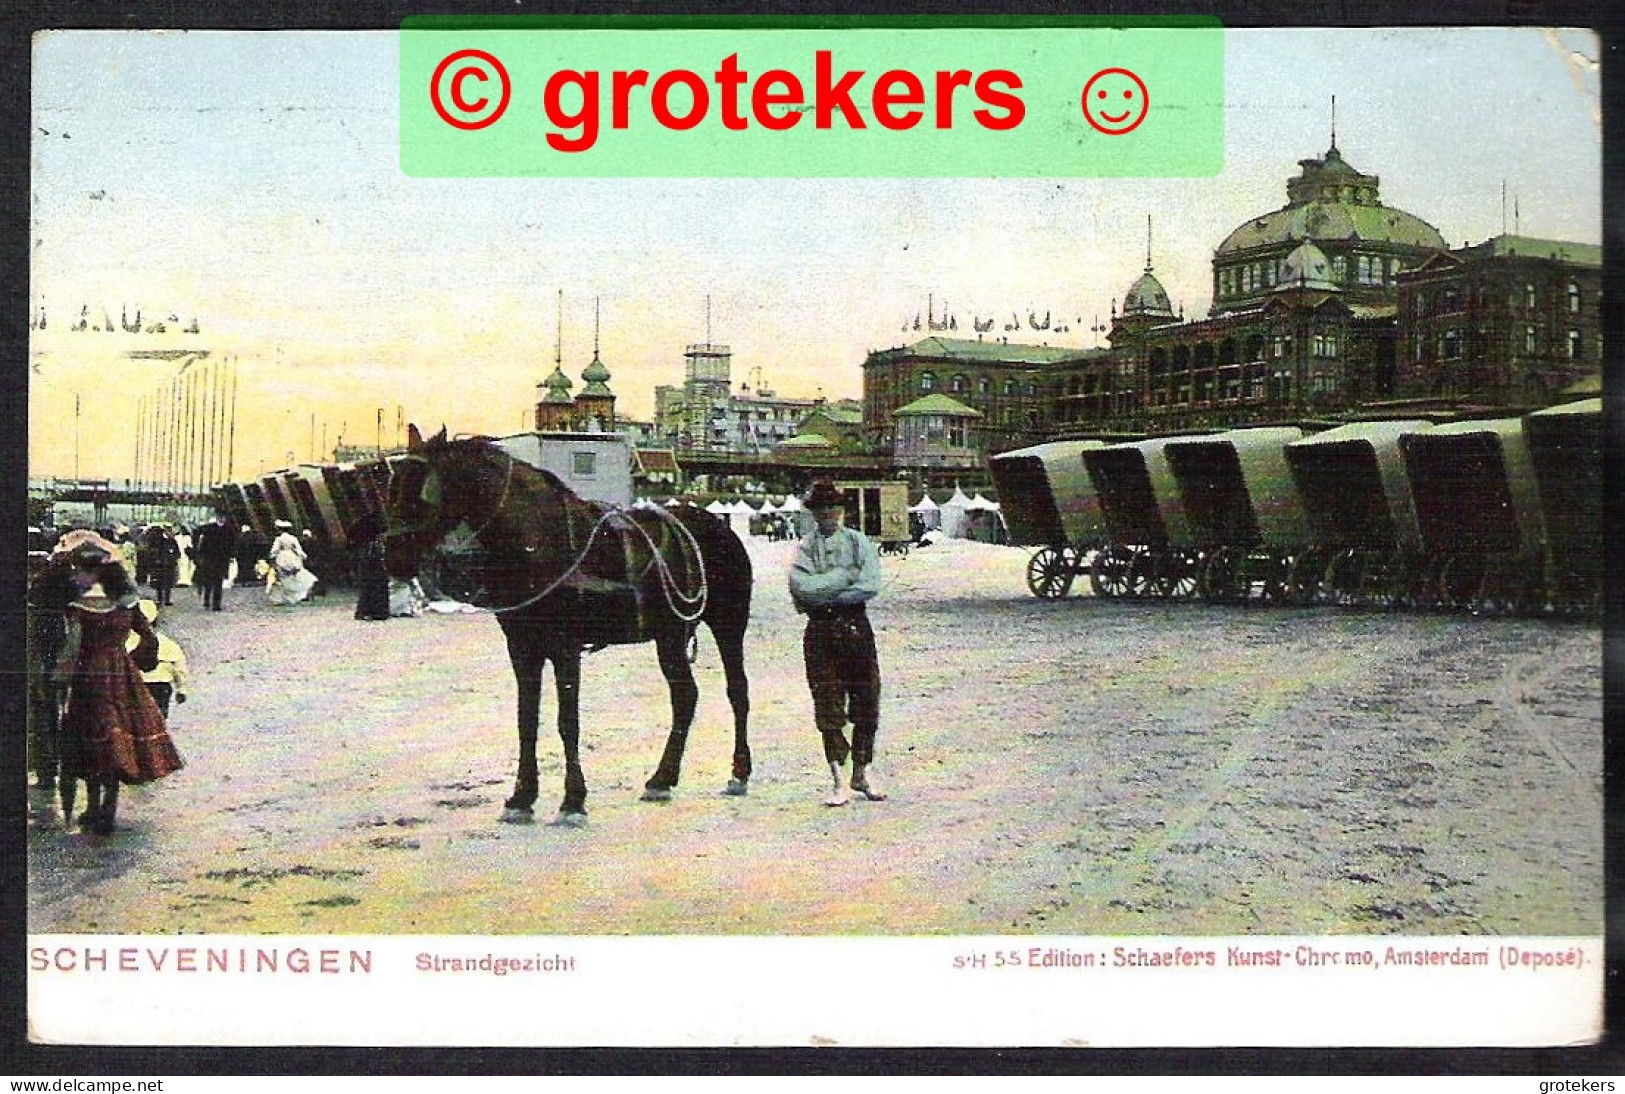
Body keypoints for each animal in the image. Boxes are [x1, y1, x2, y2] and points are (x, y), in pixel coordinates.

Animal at [381, 425, 754, 819]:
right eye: (393, 487)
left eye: (422, 491)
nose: (392, 555)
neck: (536, 542)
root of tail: (720, 526)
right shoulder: (522, 648)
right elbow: (526, 720)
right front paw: (522, 796)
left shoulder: (565, 647)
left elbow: (567, 722)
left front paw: (573, 798)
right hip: (670, 635)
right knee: (685, 697)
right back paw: (662, 778)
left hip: (728, 626)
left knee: (736, 691)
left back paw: (738, 771)